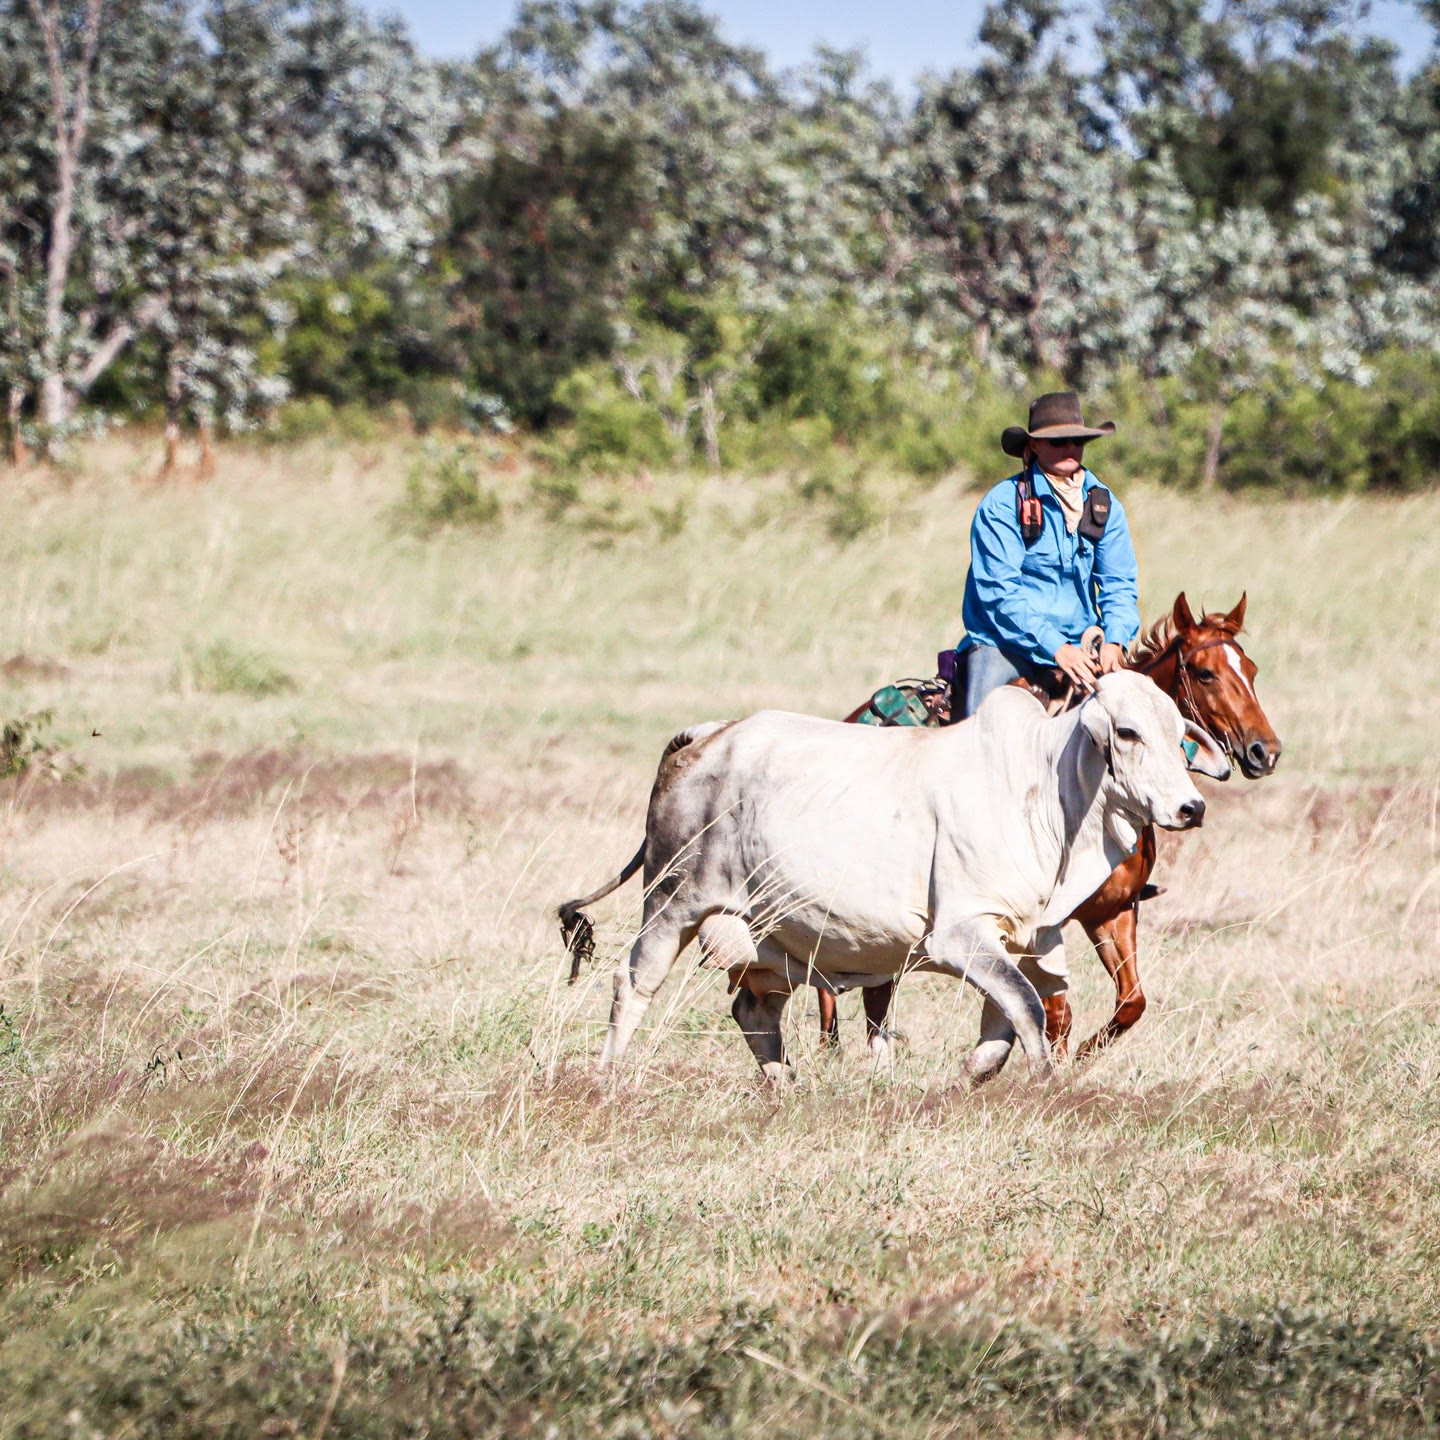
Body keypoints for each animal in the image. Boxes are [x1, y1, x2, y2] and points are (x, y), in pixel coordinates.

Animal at [559, 670, 1229, 1086]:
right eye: (1128, 732)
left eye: (1179, 734)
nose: (1191, 808)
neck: (1044, 790)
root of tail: (707, 735)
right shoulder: (960, 934)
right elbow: (1028, 1010)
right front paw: (1043, 1083)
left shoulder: (1032, 937)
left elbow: (1010, 1020)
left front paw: (972, 1074)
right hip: (672, 904)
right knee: (632, 986)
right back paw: (609, 1078)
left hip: (769, 934)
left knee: (754, 1009)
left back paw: (785, 1085)